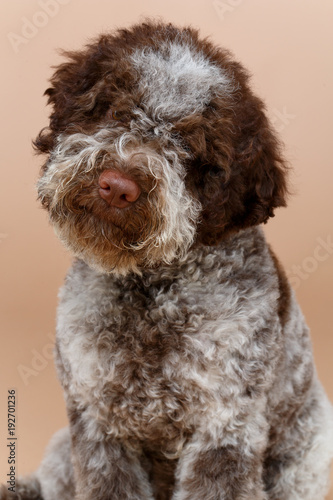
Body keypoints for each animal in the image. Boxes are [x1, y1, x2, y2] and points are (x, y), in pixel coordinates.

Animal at [1, 19, 330, 500]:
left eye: (191, 149)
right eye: (115, 110)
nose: (118, 186)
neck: (148, 292)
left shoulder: (225, 427)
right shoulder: (97, 423)